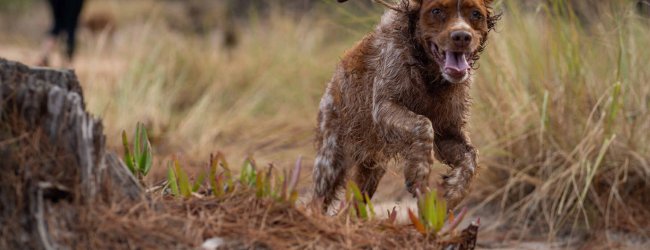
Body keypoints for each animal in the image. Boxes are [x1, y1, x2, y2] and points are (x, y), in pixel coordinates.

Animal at [312, 0, 498, 211]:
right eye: (436, 11)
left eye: (475, 14)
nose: (462, 36)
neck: (429, 74)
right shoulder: (384, 108)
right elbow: (423, 125)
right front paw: (419, 171)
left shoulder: (448, 131)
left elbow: (472, 156)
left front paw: (452, 192)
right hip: (331, 161)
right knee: (317, 201)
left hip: (372, 169)